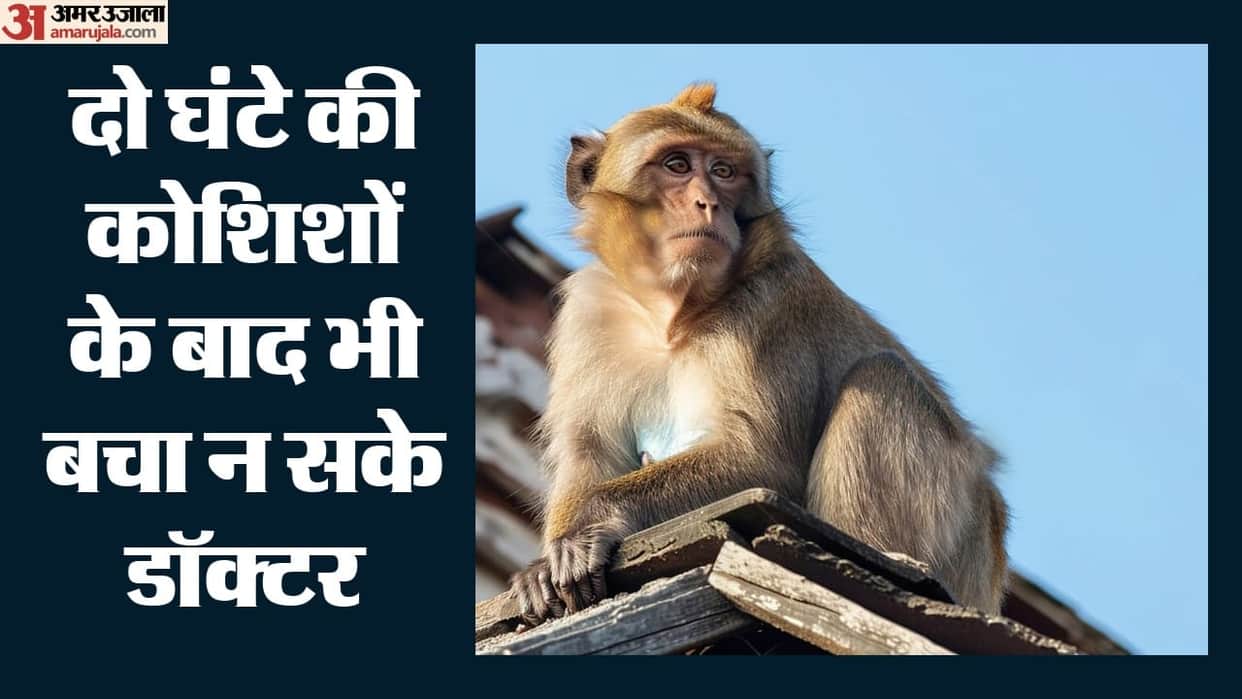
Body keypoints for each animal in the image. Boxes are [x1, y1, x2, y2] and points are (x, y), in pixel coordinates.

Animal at [507, 83, 1009, 626]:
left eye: (724, 172)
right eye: (677, 164)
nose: (708, 203)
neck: (674, 317)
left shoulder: (771, 301)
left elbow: (764, 460)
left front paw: (592, 519)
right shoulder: (589, 313)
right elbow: (591, 450)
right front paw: (546, 562)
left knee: (882, 377)